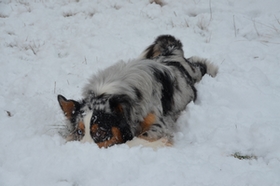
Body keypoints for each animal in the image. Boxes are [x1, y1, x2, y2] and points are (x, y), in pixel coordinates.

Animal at [57, 34, 219, 148]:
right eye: (80, 131)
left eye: (101, 132)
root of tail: (173, 54)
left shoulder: (158, 126)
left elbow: (133, 141)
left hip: (198, 71)